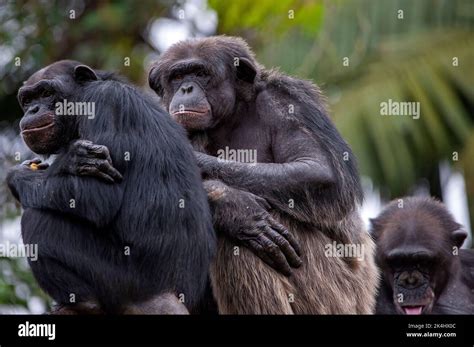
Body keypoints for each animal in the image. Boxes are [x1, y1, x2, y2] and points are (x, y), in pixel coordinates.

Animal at [6, 60, 215, 316]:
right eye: (27, 99)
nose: (33, 110)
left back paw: (83, 303)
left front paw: (38, 169)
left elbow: (100, 197)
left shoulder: (103, 103)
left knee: (37, 221)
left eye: (46, 93)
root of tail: (174, 295)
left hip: (127, 284)